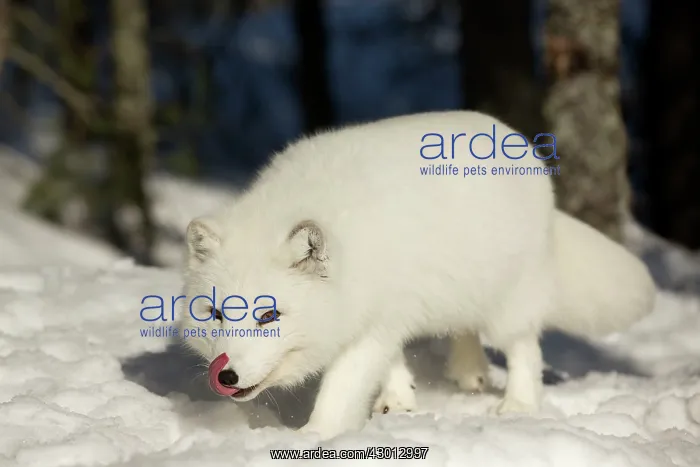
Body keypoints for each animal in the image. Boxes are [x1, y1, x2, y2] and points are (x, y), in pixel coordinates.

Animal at [178, 110, 656, 440]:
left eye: (268, 316)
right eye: (215, 314)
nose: (226, 376)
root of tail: (513, 136)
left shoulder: (372, 324)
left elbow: (341, 389)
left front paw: (314, 437)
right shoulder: (385, 313)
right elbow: (390, 363)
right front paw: (398, 402)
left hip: (510, 301)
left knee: (525, 348)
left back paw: (518, 404)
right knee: (464, 328)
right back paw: (467, 371)